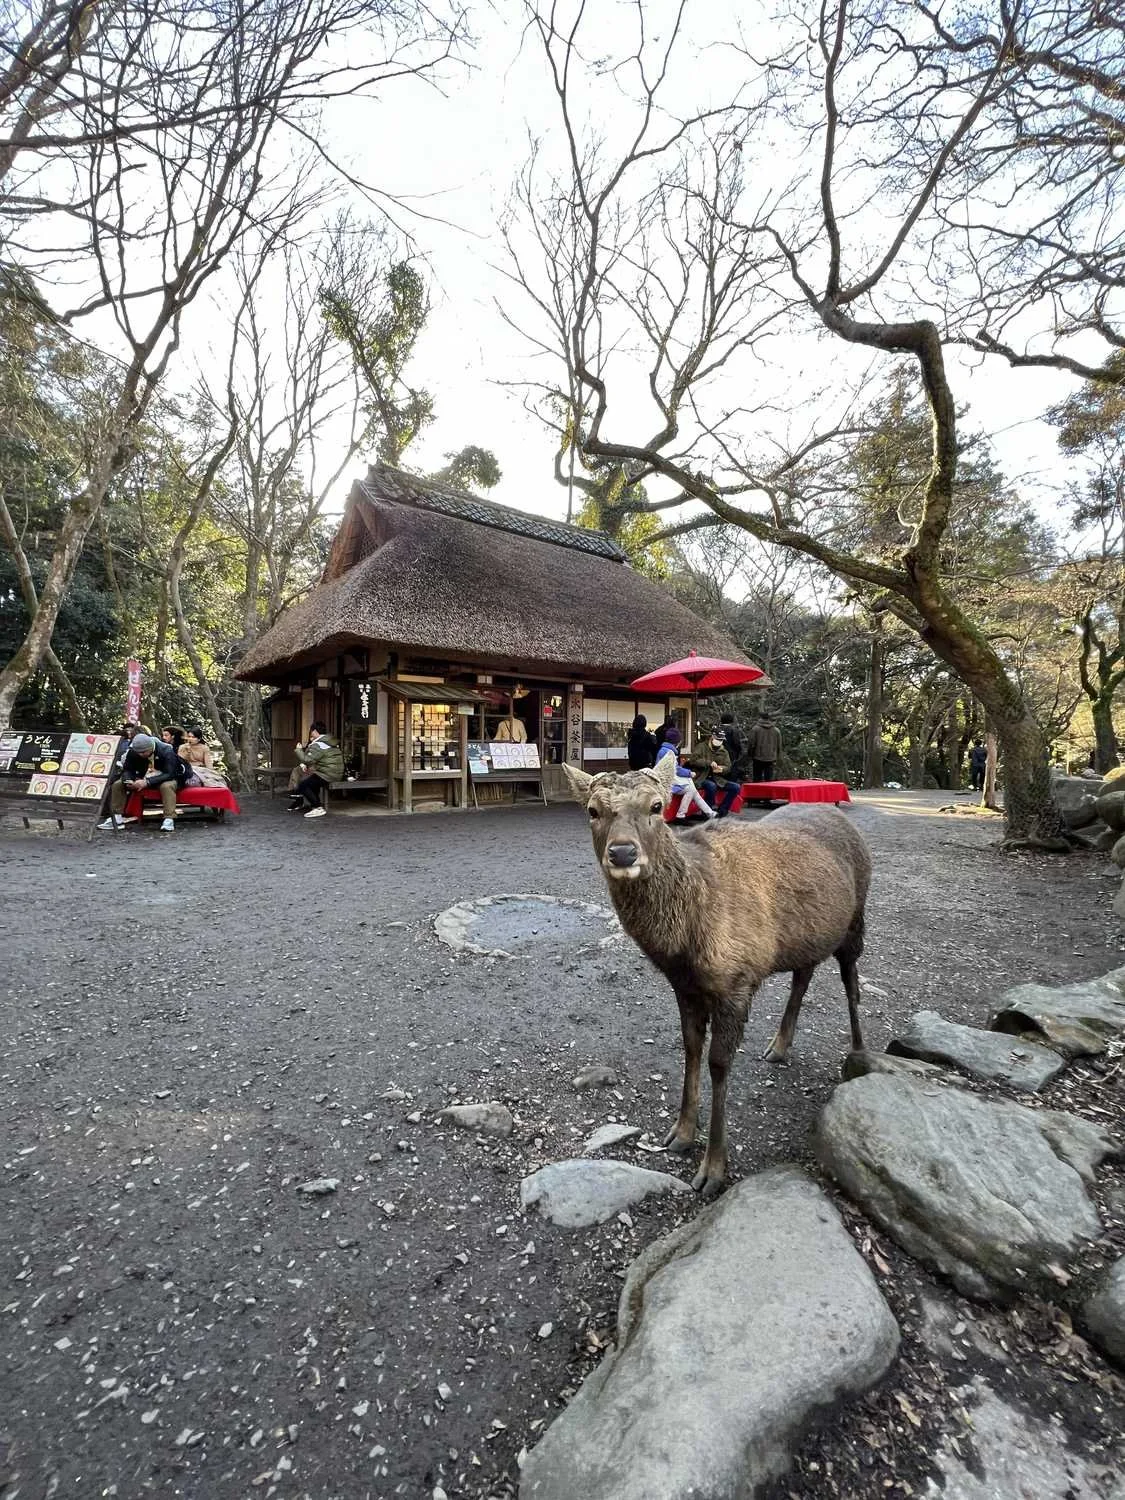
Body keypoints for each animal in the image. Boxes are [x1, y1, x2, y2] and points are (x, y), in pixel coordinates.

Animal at [563, 754, 871, 1197]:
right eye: (592, 810)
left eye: (657, 806)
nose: (622, 853)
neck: (685, 940)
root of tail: (845, 821)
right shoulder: (685, 985)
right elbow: (691, 1049)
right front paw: (680, 1133)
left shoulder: (736, 982)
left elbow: (719, 1064)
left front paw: (713, 1168)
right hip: (809, 935)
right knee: (804, 974)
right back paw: (780, 1045)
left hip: (855, 918)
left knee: (851, 982)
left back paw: (859, 1056)